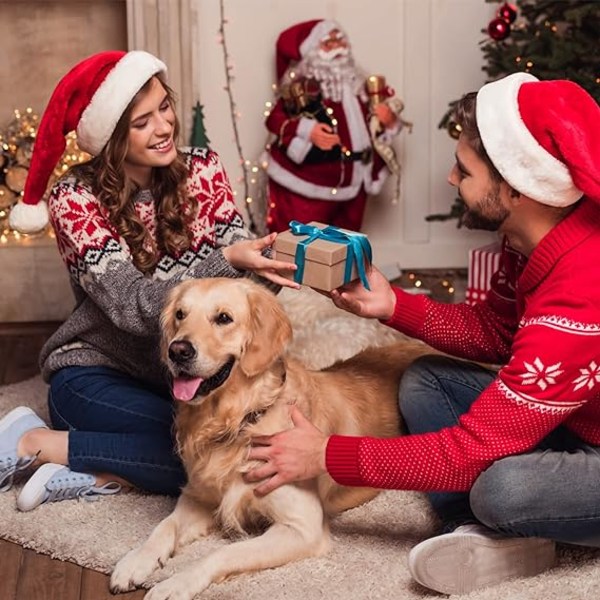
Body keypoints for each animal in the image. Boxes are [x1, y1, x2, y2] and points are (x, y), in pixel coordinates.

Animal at [111, 278, 432, 600]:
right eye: (180, 314)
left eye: (224, 318)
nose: (177, 351)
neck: (240, 421)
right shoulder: (197, 497)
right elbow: (163, 527)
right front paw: (135, 561)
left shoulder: (301, 527)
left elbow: (224, 553)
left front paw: (176, 583)